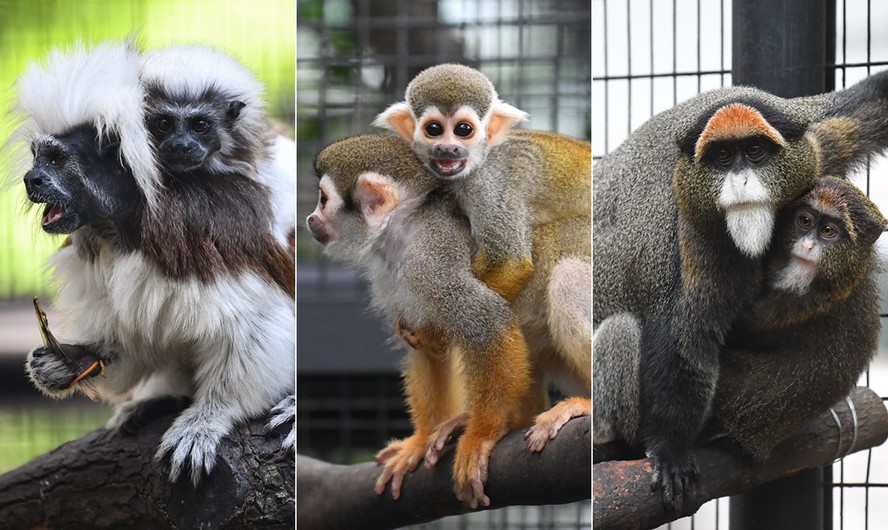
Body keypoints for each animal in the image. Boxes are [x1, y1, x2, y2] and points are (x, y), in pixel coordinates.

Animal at [15, 41, 295, 486]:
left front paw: (208, 418)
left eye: (57, 161)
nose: (31, 180)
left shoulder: (196, 232)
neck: (126, 225)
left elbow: (257, 322)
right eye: (36, 156)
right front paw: (70, 362)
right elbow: (130, 332)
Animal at [306, 135, 590, 508]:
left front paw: (481, 436)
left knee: (568, 278)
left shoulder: (432, 260)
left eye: (324, 200)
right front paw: (420, 441)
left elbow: (487, 320)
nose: (310, 218)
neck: (402, 231)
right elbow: (427, 349)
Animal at [593, 69, 888, 510]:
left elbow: (870, 104)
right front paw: (670, 450)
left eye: (754, 151)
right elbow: (684, 338)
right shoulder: (689, 227)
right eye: (722, 158)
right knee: (620, 331)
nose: (741, 180)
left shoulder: (813, 140)